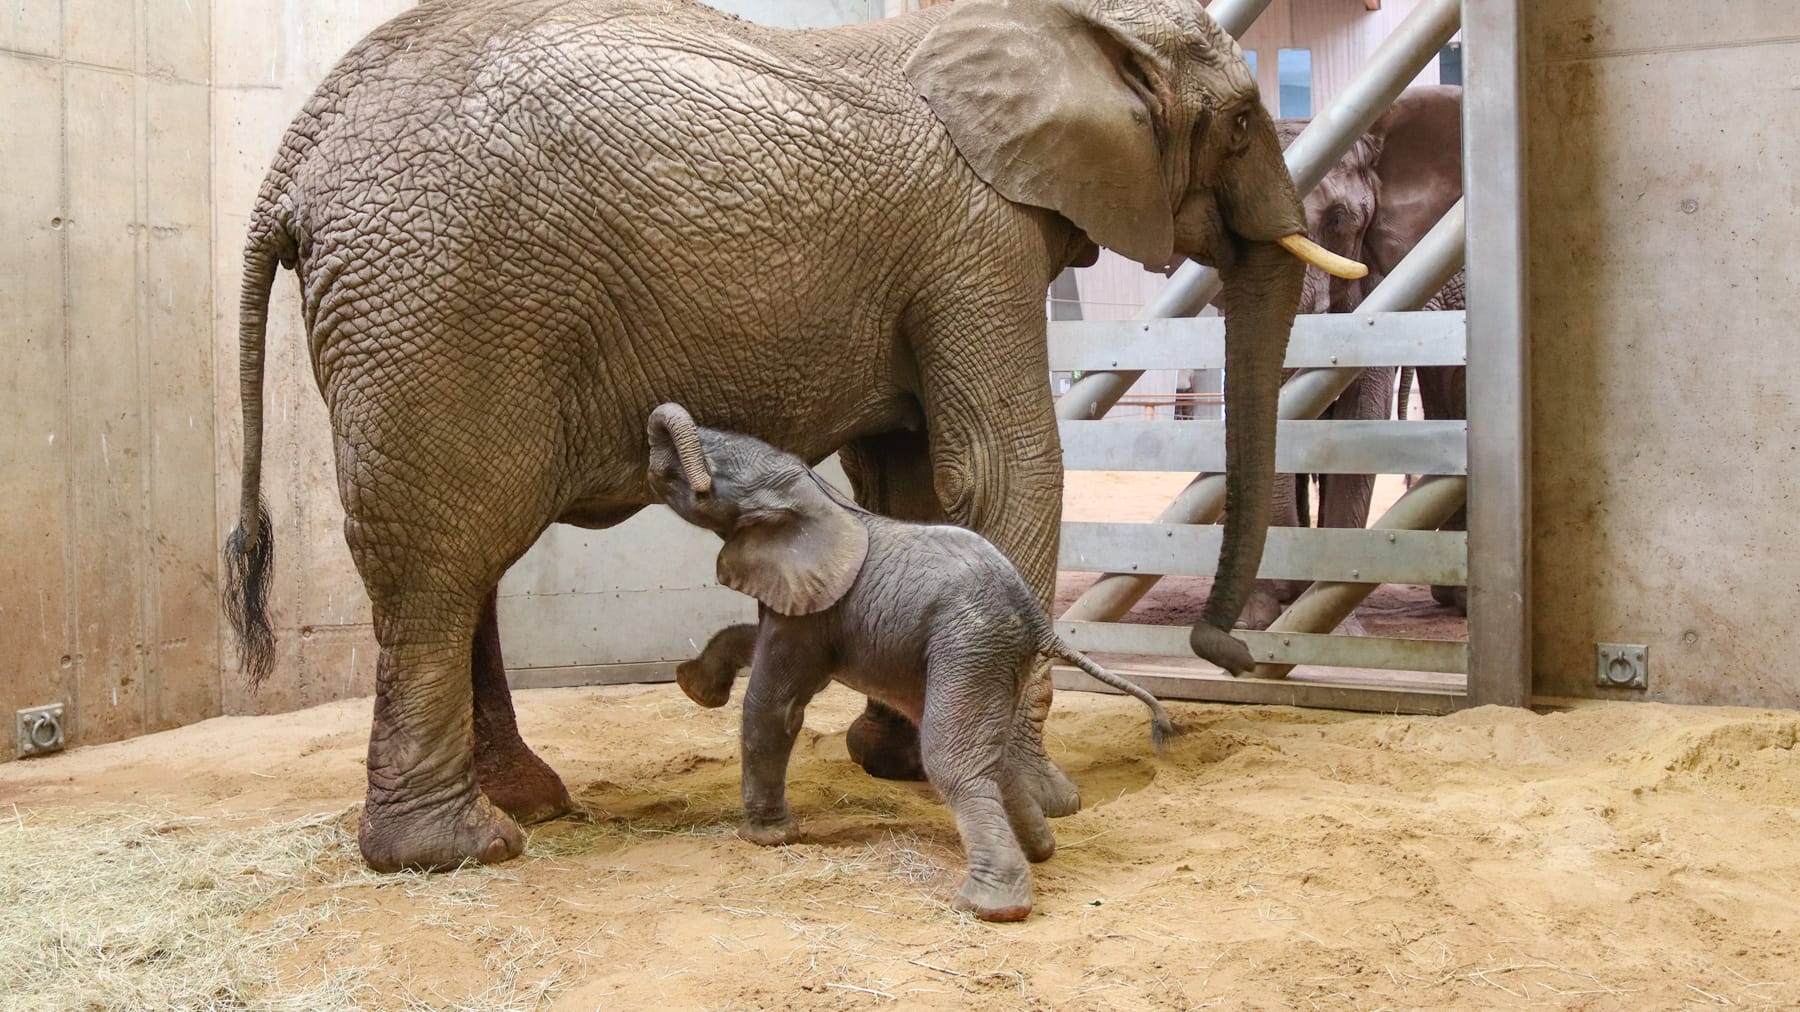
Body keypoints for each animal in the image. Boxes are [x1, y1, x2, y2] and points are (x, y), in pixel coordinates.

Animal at [648, 397, 1180, 918]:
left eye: (715, 475)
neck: (816, 496)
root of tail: (1034, 613)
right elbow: (757, 644)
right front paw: (694, 686)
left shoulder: (817, 600)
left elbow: (774, 705)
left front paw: (767, 839)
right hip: (991, 655)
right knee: (990, 756)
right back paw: (1040, 852)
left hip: (971, 643)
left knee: (952, 760)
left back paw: (988, 906)